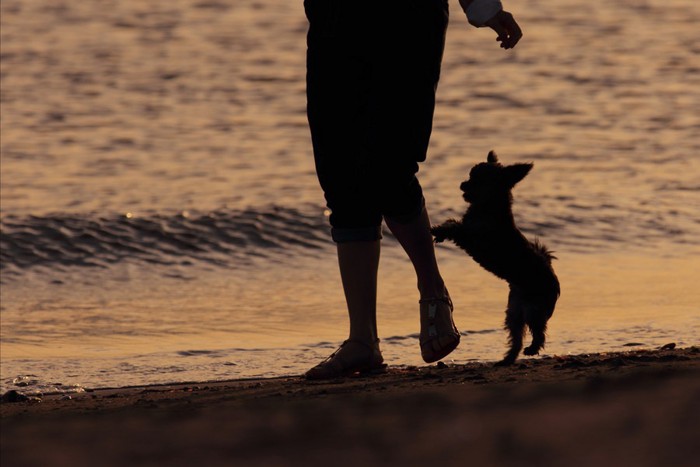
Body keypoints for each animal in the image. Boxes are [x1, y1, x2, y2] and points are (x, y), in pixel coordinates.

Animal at [430, 152, 560, 368]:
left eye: (479, 179)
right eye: (471, 175)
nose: (463, 184)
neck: (488, 206)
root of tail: (553, 280)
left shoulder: (475, 236)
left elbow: (455, 227)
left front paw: (437, 230)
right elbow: (454, 224)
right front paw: (440, 232)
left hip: (533, 308)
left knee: (539, 332)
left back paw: (532, 349)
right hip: (515, 312)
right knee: (517, 337)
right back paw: (507, 359)